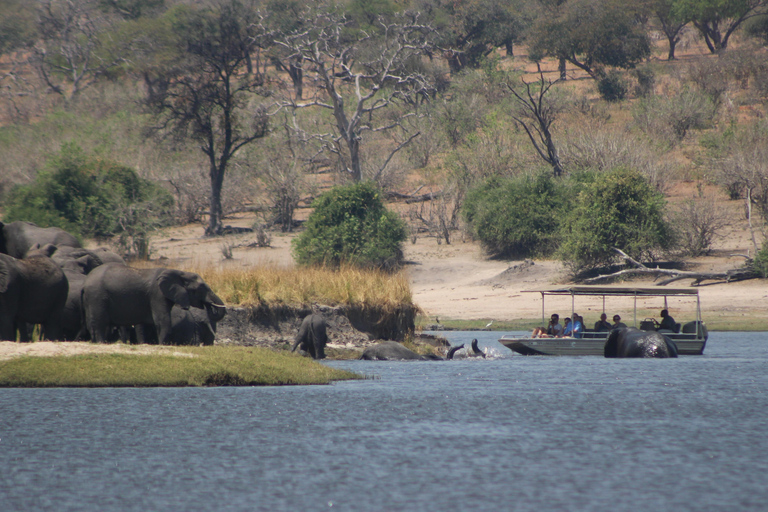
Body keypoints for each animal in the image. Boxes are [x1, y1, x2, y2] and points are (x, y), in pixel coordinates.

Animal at [86, 264, 228, 344]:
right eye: (201, 288)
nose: (208, 305)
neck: (178, 272)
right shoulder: (157, 294)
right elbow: (162, 321)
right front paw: (161, 345)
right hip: (97, 296)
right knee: (99, 323)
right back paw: (100, 343)